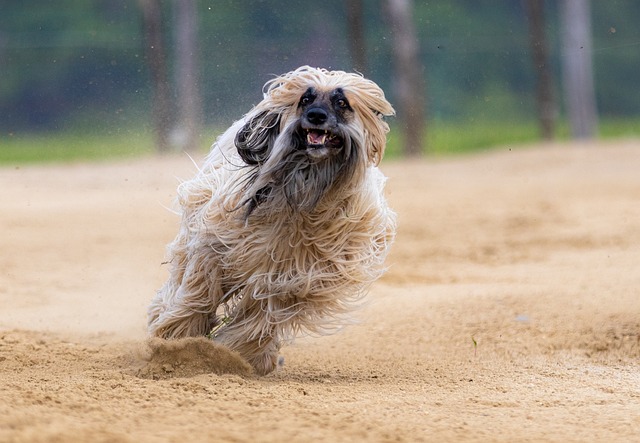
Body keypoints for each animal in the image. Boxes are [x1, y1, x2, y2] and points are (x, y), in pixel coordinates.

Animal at [149, 67, 396, 376]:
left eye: (342, 102)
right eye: (305, 99)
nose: (316, 116)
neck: (306, 188)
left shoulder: (294, 276)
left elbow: (262, 313)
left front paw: (236, 353)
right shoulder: (218, 241)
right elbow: (201, 286)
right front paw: (177, 340)